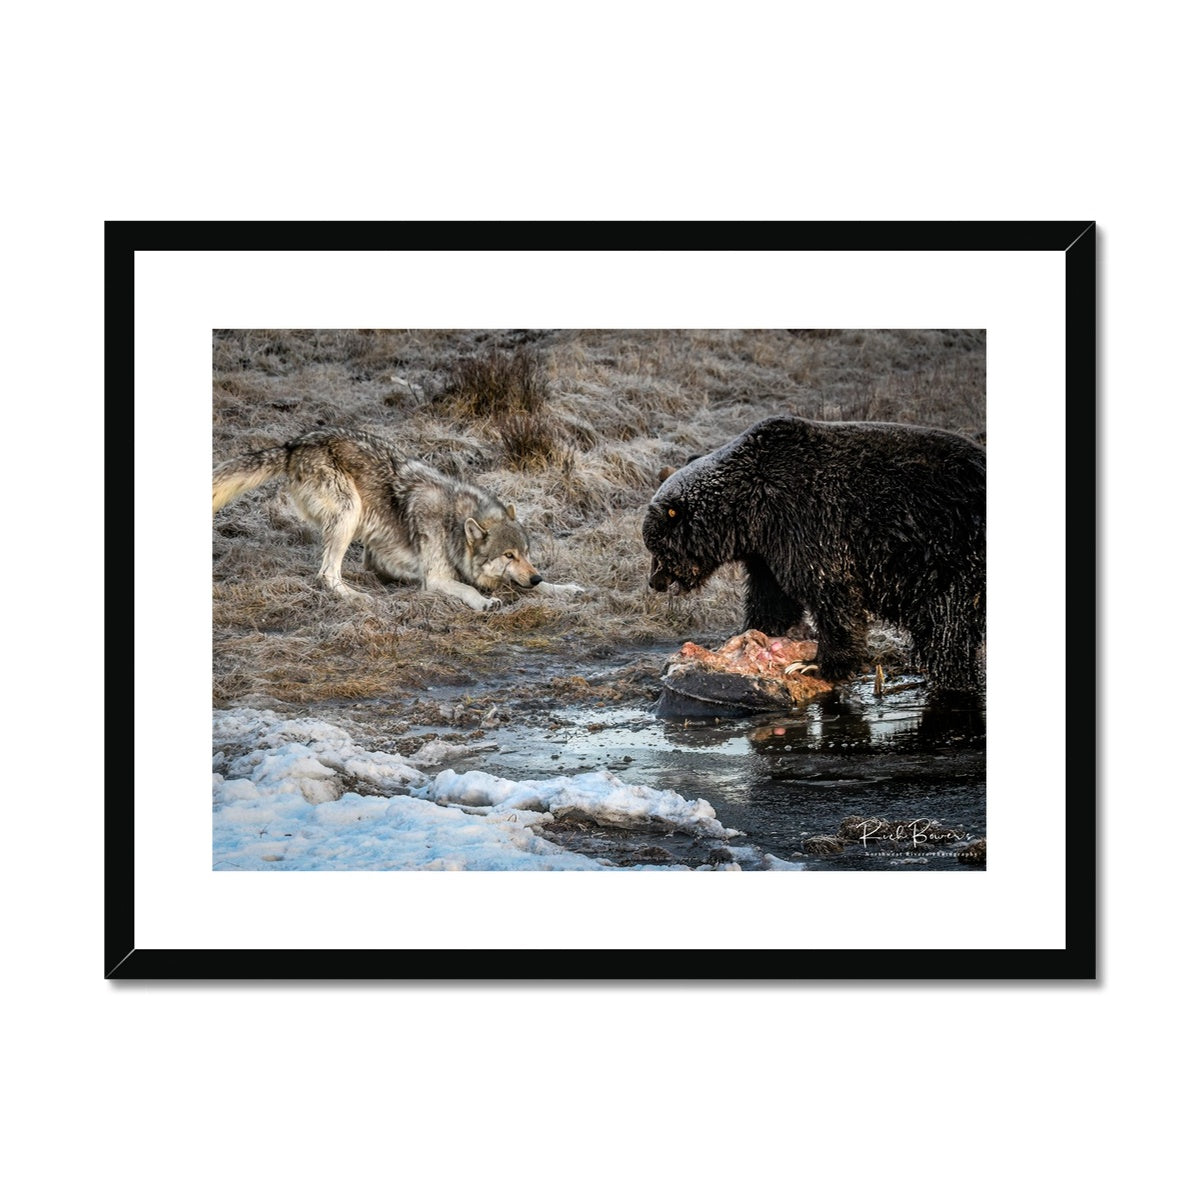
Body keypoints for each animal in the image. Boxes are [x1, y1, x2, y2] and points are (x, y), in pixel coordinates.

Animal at [213, 427, 583, 611]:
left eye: (526, 554)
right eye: (508, 555)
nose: (534, 576)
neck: (452, 522)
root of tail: (293, 444)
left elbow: (546, 587)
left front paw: (564, 588)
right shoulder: (436, 579)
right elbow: (467, 588)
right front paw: (485, 602)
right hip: (349, 513)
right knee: (326, 574)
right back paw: (355, 596)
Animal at [642, 415, 985, 694]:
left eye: (656, 547)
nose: (655, 582)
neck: (752, 512)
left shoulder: (811, 523)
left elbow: (830, 593)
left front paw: (818, 665)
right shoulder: (769, 550)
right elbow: (772, 598)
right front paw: (748, 631)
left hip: (949, 556)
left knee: (948, 630)